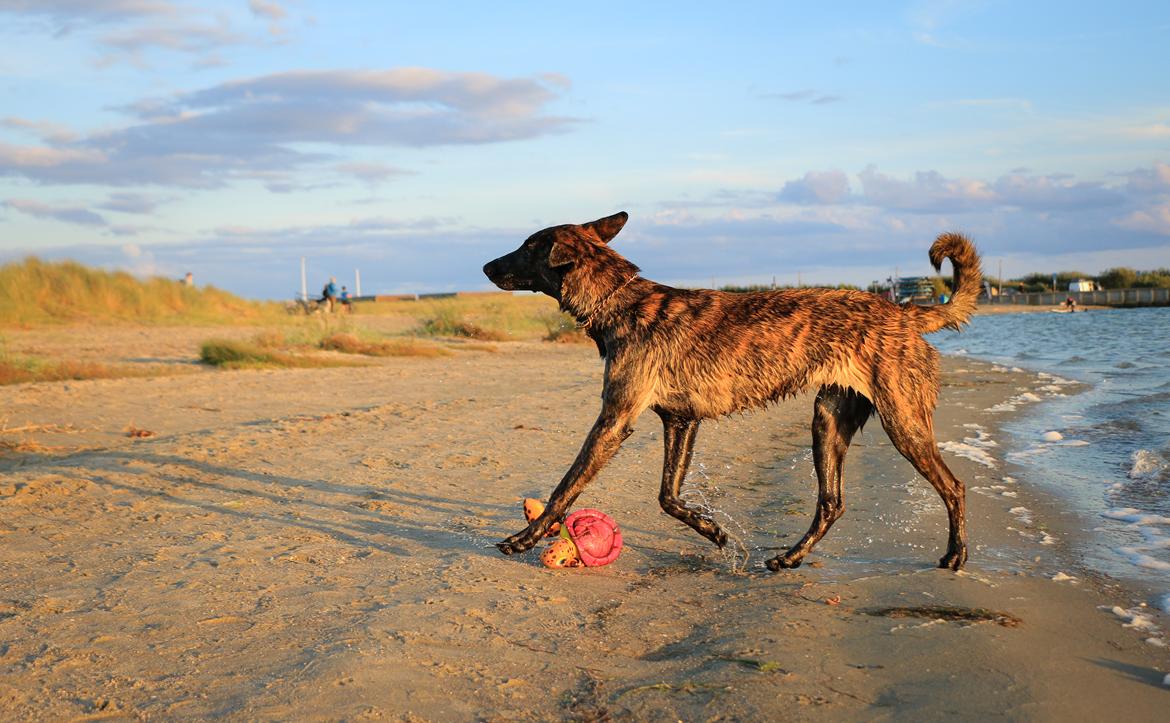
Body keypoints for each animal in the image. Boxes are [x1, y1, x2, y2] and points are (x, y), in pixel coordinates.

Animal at [479, 210, 982, 566]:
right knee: (831, 503)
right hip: (828, 421)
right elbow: (667, 496)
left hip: (903, 422)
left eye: (527, 246)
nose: (484, 265)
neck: (620, 299)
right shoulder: (681, 422)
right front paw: (712, 530)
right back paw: (789, 558)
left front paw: (524, 538)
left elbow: (566, 486)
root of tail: (903, 312)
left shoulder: (614, 421)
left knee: (954, 486)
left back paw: (955, 555)